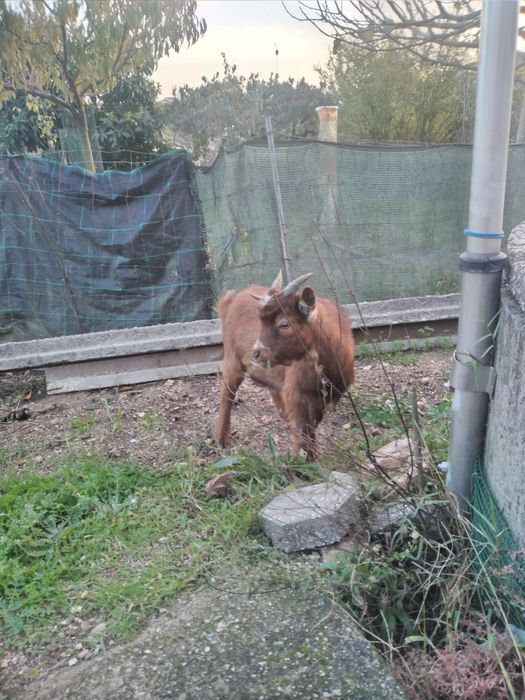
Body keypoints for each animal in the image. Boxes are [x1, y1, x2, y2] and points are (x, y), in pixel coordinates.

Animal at [214, 271, 355, 461]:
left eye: (284, 324)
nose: (256, 353)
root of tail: (230, 301)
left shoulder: (320, 397)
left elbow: (311, 424)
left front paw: (312, 457)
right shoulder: (296, 392)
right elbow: (302, 427)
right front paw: (300, 461)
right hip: (232, 359)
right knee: (226, 393)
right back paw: (221, 439)